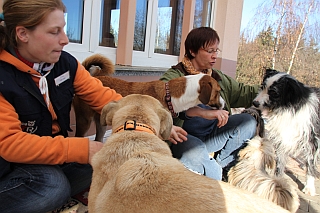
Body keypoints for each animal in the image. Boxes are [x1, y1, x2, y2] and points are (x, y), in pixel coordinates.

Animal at [74, 53, 224, 141]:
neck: (168, 96)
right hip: (84, 121)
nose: (223, 104)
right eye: (218, 91)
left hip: (101, 123)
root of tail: (94, 76)